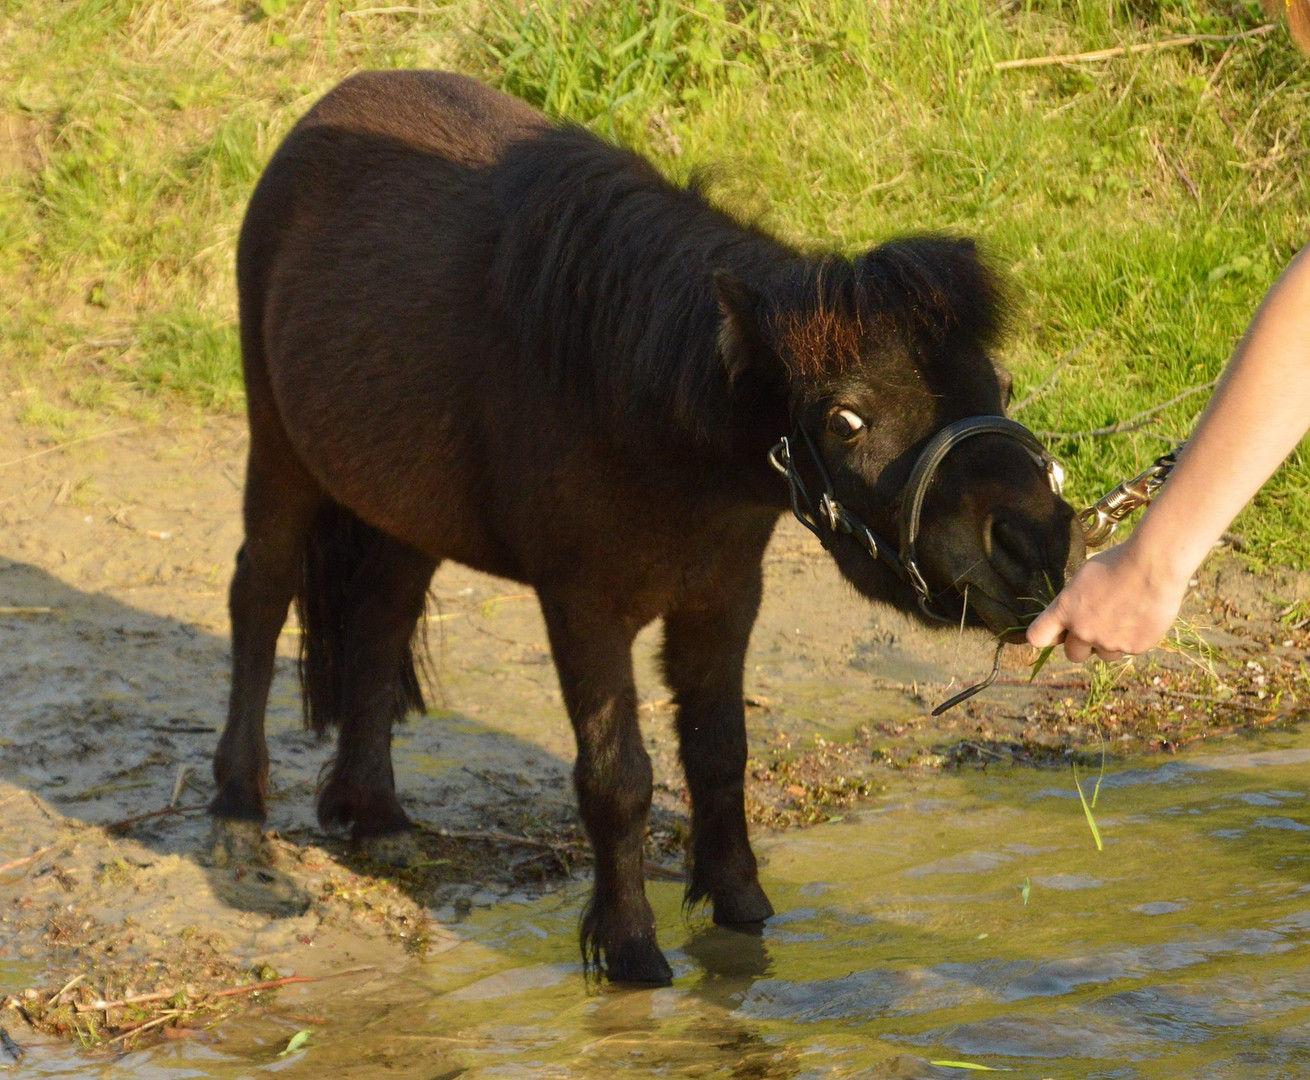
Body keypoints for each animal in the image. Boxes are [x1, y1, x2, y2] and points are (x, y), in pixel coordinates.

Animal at [209, 71, 1079, 985]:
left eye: (1000, 384)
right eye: (846, 418)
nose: (1035, 542)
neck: (636, 399)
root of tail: (325, 112)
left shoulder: (721, 595)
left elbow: (719, 752)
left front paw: (741, 913)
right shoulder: (583, 608)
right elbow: (616, 775)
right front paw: (628, 946)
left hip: (402, 507)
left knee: (381, 615)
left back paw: (374, 811)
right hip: (280, 454)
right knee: (259, 596)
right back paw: (238, 812)